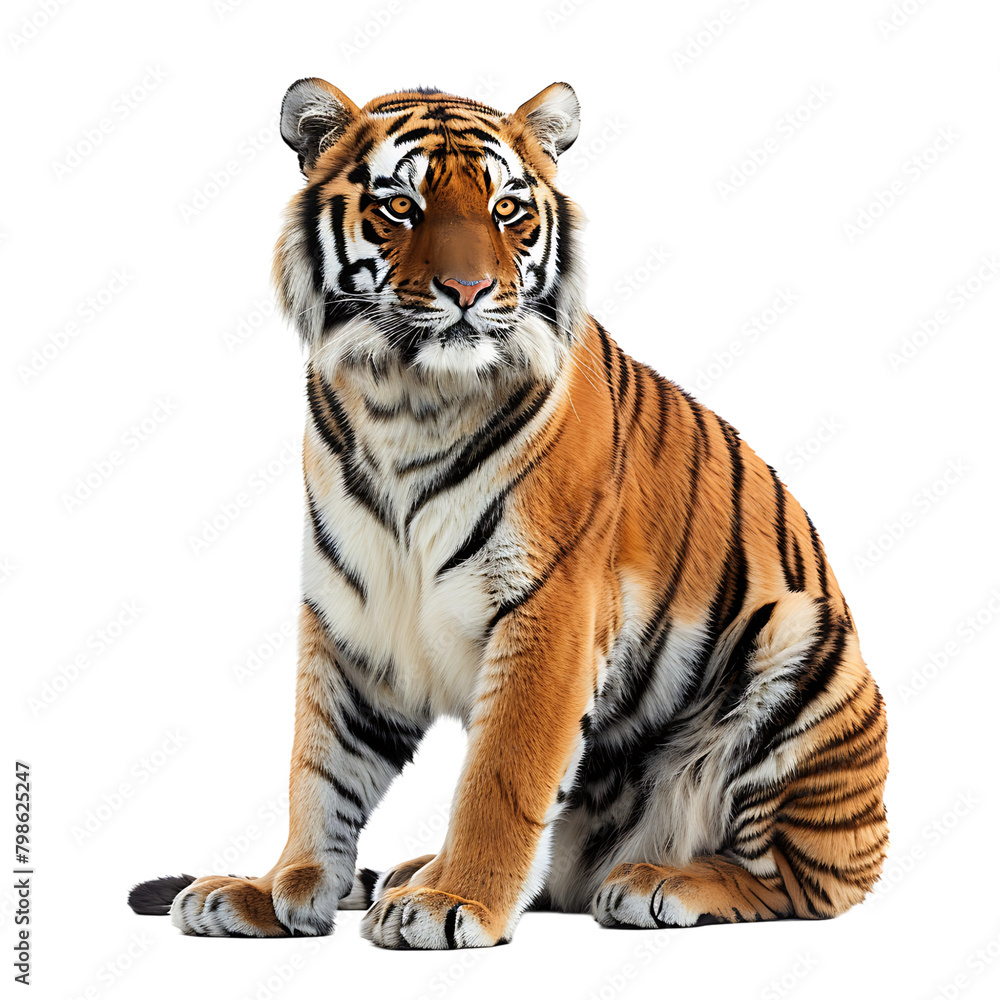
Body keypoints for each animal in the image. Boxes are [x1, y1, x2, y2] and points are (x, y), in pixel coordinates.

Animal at [127, 78, 888, 948]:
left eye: (507, 210)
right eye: (401, 207)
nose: (468, 292)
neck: (406, 402)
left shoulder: (550, 606)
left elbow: (502, 774)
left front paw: (454, 902)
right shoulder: (349, 614)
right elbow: (316, 767)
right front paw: (275, 891)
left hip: (796, 645)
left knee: (797, 883)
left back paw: (658, 881)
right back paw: (418, 869)